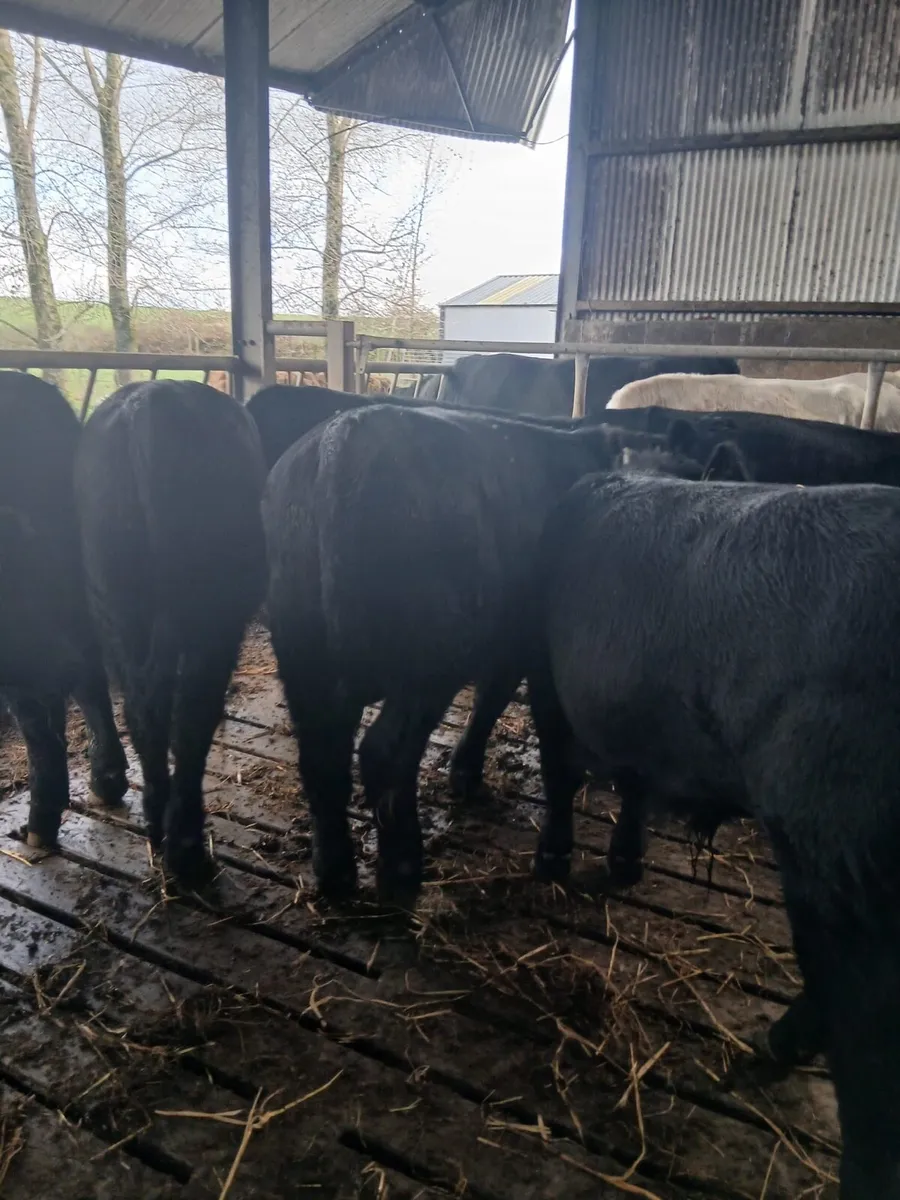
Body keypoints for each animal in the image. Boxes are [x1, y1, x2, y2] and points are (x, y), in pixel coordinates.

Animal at [75, 381, 267, 883]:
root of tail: (148, 404)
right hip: (208, 613)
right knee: (190, 714)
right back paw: (186, 848)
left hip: (114, 600)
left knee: (142, 708)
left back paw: (155, 817)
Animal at [261, 402, 718, 906]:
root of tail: (344, 436)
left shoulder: (513, 645)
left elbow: (491, 700)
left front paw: (465, 772)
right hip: (425, 666)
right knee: (385, 753)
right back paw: (402, 870)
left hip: (303, 657)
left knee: (322, 756)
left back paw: (335, 871)